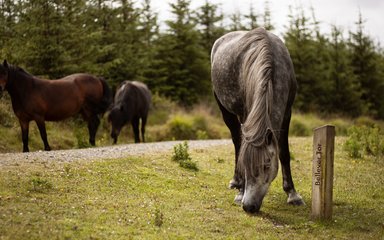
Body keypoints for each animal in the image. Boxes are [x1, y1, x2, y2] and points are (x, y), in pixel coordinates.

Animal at [212, 27, 304, 213]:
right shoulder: (246, 113)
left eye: (266, 165)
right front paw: (241, 191)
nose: (248, 206)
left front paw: (293, 194)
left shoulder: (287, 113)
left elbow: (284, 153)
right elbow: (242, 148)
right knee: (237, 142)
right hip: (225, 110)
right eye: (247, 165)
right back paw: (236, 182)